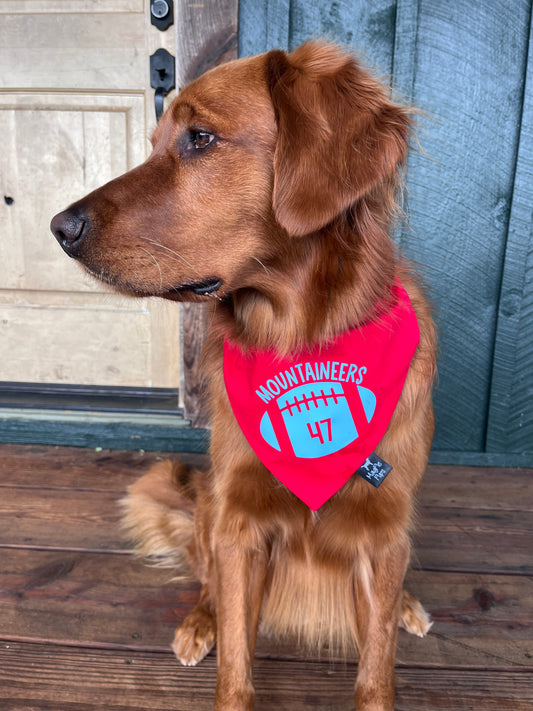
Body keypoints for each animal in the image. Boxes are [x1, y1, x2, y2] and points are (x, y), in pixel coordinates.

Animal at [52, 41, 436, 708]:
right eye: (154, 142)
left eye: (201, 138)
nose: (58, 228)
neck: (300, 345)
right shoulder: (239, 522)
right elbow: (236, 657)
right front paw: (219, 637)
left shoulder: (385, 530)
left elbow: (377, 665)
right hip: (210, 505)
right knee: (207, 579)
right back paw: (197, 622)